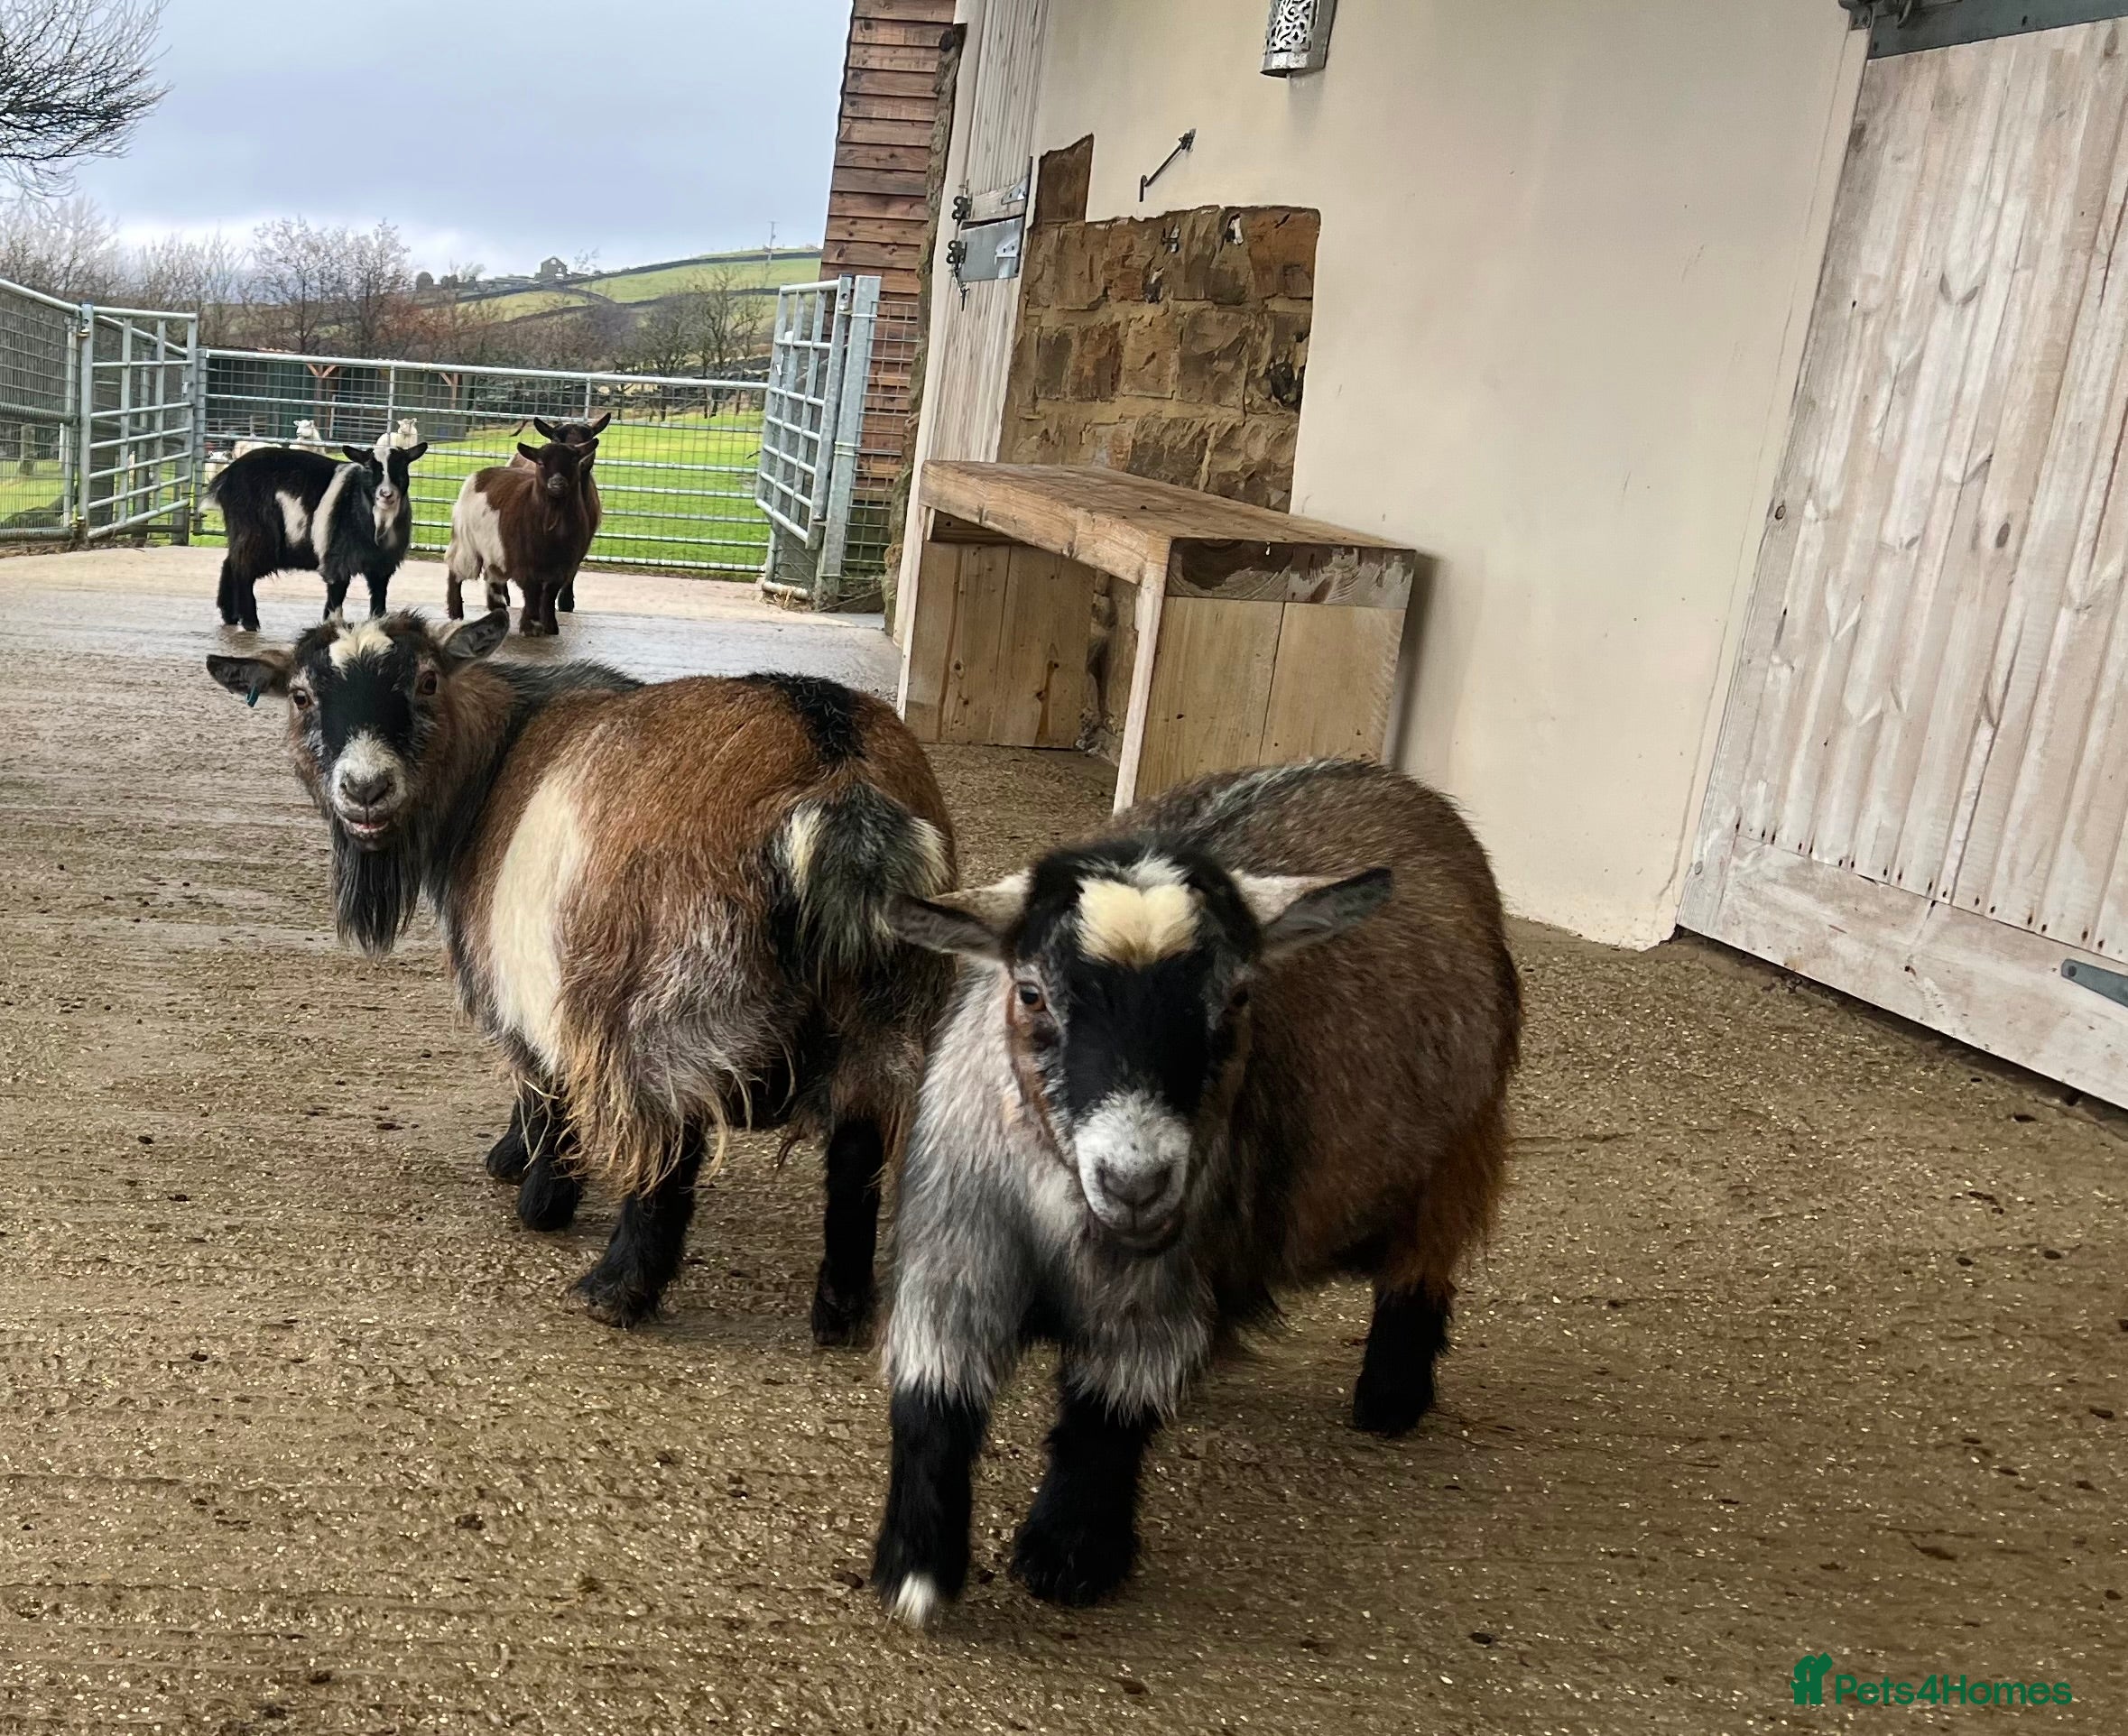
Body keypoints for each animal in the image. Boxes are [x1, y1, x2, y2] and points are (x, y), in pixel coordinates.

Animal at [204, 613, 957, 1341]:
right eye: (303, 696)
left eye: (425, 680)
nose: (365, 788)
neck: (495, 760)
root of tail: (836, 778)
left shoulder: (522, 983)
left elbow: (540, 1085)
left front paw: (535, 1190)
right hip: (887, 1020)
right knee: (857, 1155)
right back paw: (841, 1314)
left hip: (663, 1008)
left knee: (670, 1152)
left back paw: (615, 1290)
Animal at [207, 440, 428, 631]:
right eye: (368, 468)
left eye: (402, 467)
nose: (386, 494)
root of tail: (226, 477)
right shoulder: (337, 559)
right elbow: (337, 594)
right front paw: (333, 625)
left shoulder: (381, 565)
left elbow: (379, 597)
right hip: (255, 534)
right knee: (243, 569)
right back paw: (250, 622)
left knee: (231, 563)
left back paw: (230, 616)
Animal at [445, 439, 597, 636]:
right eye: (540, 463)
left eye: (573, 461)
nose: (557, 483)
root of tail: (479, 475)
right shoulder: (524, 562)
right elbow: (533, 591)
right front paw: (530, 626)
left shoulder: (563, 566)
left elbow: (549, 595)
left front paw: (550, 626)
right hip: (466, 541)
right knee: (456, 570)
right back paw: (456, 613)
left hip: (496, 550)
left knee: (492, 575)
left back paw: (498, 608)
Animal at [867, 758, 1521, 1625]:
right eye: (1032, 993)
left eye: (1239, 997)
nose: (1136, 1181)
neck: (1063, 1220)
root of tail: (1397, 784)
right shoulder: (955, 1260)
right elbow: (933, 1401)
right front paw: (917, 1569)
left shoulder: (1155, 1288)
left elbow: (1107, 1413)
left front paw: (1070, 1556)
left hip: (1457, 1151)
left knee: (1424, 1264)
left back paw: (1390, 1397)